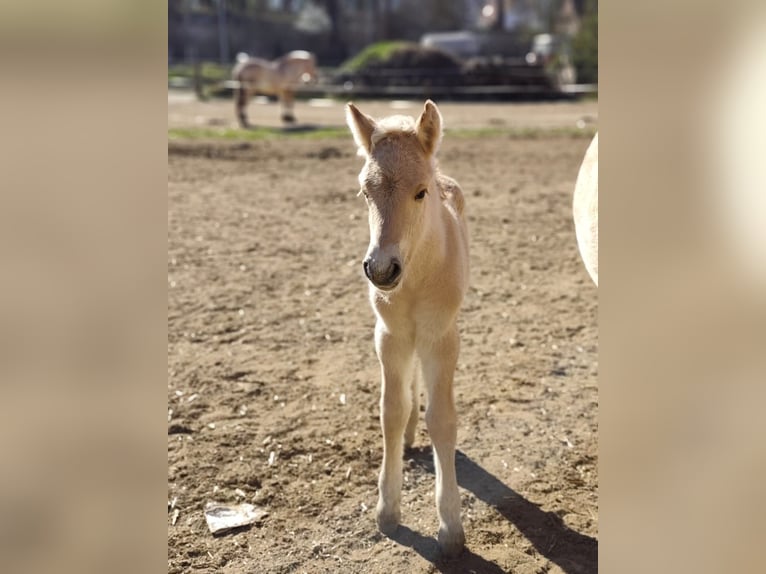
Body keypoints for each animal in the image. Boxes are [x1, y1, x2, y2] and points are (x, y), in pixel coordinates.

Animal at [346, 100, 469, 557]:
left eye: (420, 192)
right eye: (365, 193)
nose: (381, 270)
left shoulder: (442, 337)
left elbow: (443, 419)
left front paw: (450, 528)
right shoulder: (389, 336)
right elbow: (391, 411)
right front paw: (387, 512)